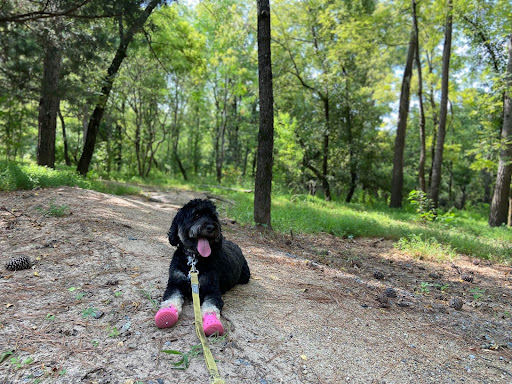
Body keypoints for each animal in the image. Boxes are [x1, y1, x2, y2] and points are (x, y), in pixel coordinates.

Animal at [154, 200, 250, 334]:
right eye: (196, 215)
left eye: (213, 217)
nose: (211, 227)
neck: (194, 258)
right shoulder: (175, 284)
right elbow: (171, 298)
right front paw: (167, 313)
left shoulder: (212, 290)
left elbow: (210, 306)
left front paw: (212, 322)